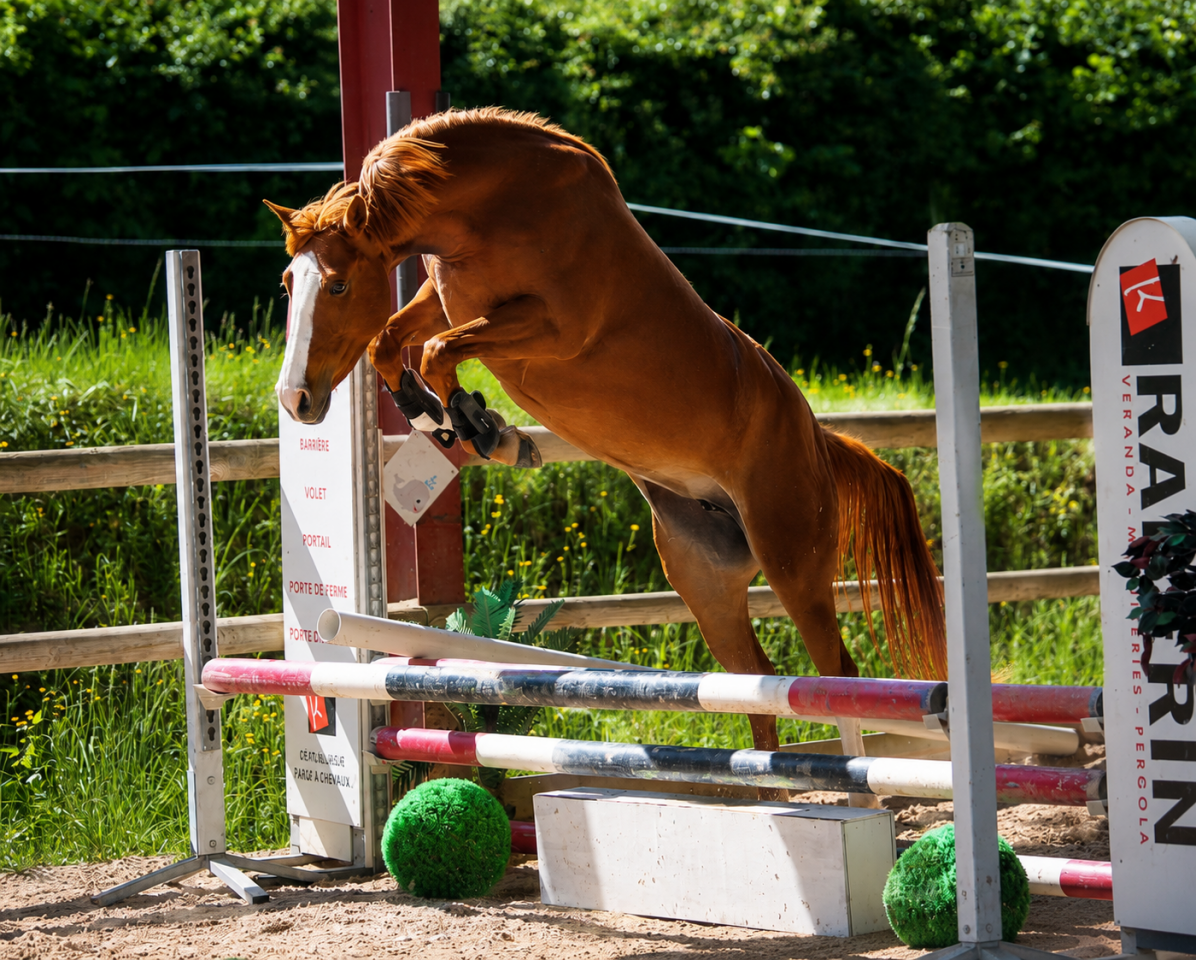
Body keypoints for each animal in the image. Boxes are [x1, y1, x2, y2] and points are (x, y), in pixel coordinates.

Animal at [266, 108, 946, 795]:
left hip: (793, 561)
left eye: (339, 285)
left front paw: (487, 429)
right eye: (289, 282)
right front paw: (441, 417)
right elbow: (392, 341)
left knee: (837, 669)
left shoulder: (549, 326)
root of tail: (817, 439)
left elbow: (436, 349)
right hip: (706, 580)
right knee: (755, 683)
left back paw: (857, 792)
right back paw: (763, 795)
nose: (295, 400)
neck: (493, 205)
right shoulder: (442, 296)